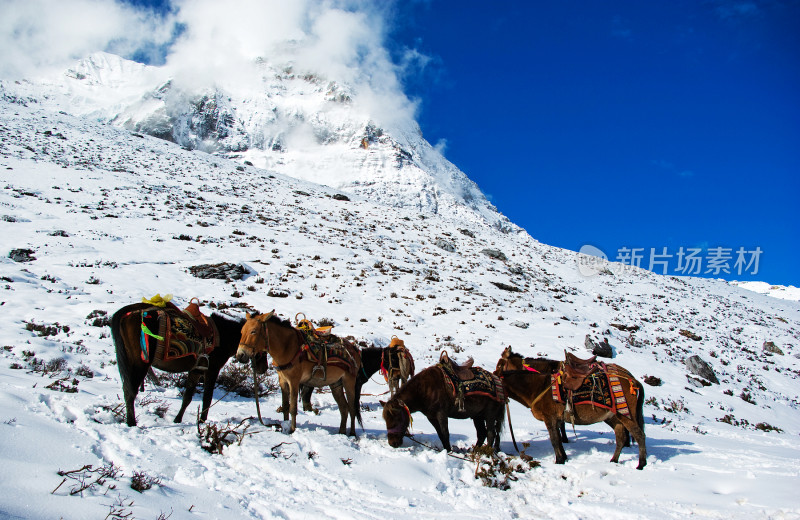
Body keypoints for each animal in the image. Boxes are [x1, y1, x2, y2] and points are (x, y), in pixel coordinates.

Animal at [111, 300, 245, 426]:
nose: (243, 356)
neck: (224, 337)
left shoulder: (196, 370)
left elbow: (187, 397)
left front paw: (177, 420)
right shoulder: (212, 369)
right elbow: (207, 397)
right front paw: (201, 422)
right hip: (139, 363)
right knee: (130, 391)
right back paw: (132, 423)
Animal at [496, 356, 648, 470]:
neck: (538, 388)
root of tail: (633, 380)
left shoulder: (550, 418)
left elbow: (554, 440)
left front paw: (558, 460)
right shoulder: (557, 420)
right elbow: (558, 439)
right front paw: (563, 458)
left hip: (626, 415)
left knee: (639, 435)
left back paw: (641, 464)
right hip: (613, 417)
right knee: (621, 437)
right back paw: (614, 460)